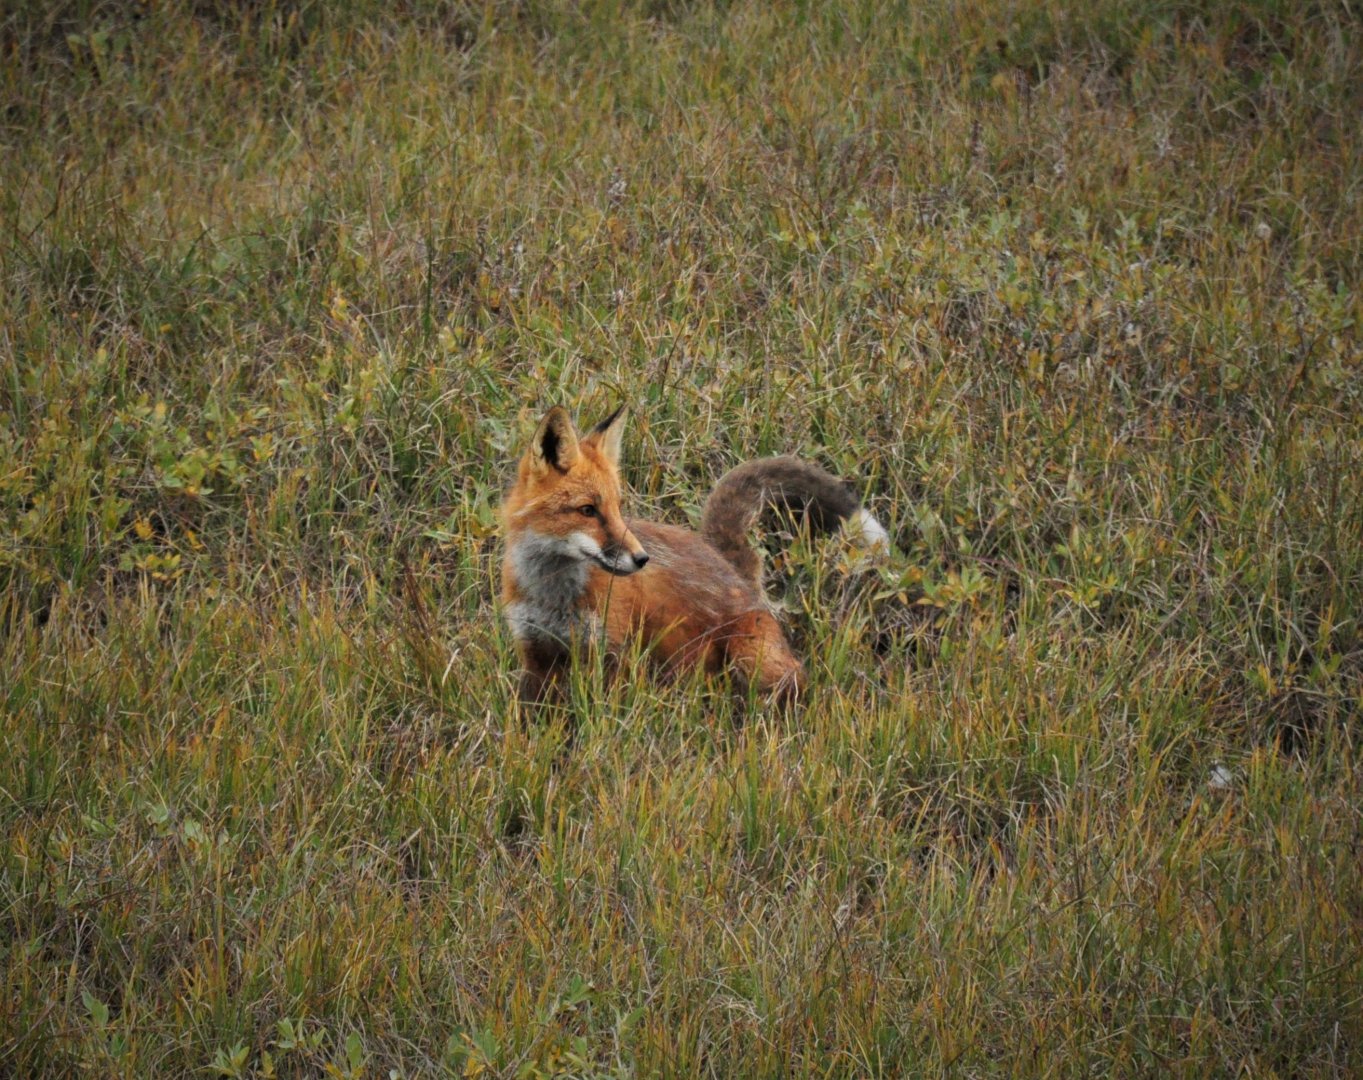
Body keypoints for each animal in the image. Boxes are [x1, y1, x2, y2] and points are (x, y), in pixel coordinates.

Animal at [500, 405, 890, 707]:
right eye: (587, 510)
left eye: (617, 508)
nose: (642, 559)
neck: (552, 597)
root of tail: (726, 562)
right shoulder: (535, 655)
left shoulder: (612, 656)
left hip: (754, 657)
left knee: (793, 684)